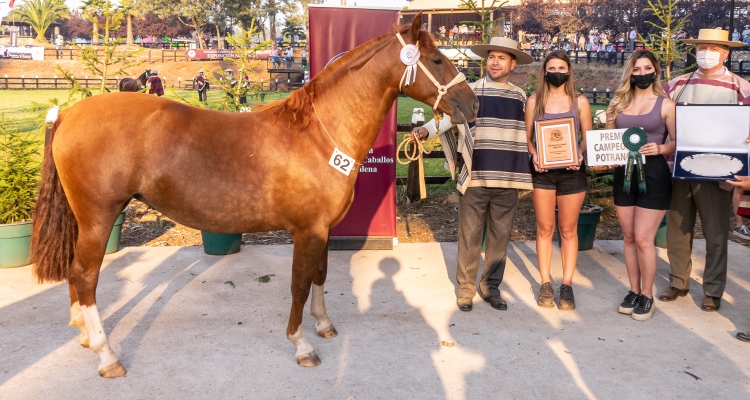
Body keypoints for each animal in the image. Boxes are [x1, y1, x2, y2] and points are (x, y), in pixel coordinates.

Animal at [32, 14, 478, 378]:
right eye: (438, 60)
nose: (472, 105)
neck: (318, 136)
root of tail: (68, 113)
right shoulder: (306, 231)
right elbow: (299, 285)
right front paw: (301, 345)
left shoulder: (323, 231)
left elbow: (320, 276)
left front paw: (323, 325)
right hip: (98, 218)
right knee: (85, 274)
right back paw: (106, 355)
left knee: (76, 272)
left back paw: (84, 335)